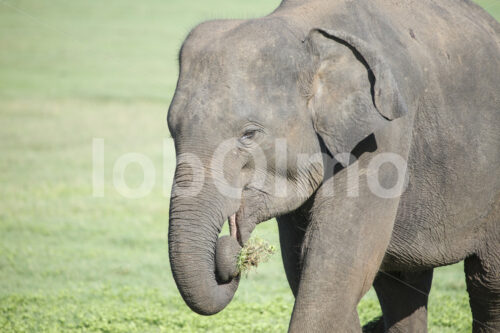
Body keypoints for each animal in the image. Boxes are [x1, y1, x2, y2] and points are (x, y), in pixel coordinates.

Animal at [167, 1, 500, 330]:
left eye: (249, 134)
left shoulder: (383, 132)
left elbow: (336, 263)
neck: (306, 31)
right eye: (172, 130)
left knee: (487, 285)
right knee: (401, 287)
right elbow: (305, 265)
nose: (233, 253)